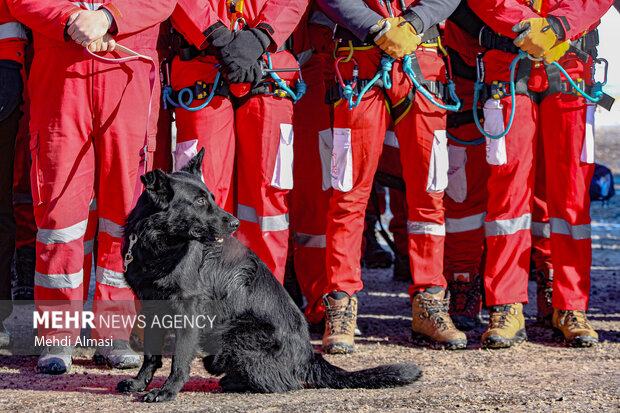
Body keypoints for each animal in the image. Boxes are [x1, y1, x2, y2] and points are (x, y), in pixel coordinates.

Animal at [116, 150, 422, 400]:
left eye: (211, 198)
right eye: (201, 201)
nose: (236, 223)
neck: (158, 244)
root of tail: (309, 355)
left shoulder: (188, 309)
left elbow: (179, 358)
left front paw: (167, 391)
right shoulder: (150, 305)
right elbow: (151, 355)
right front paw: (140, 383)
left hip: (232, 336)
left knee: (286, 383)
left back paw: (235, 383)